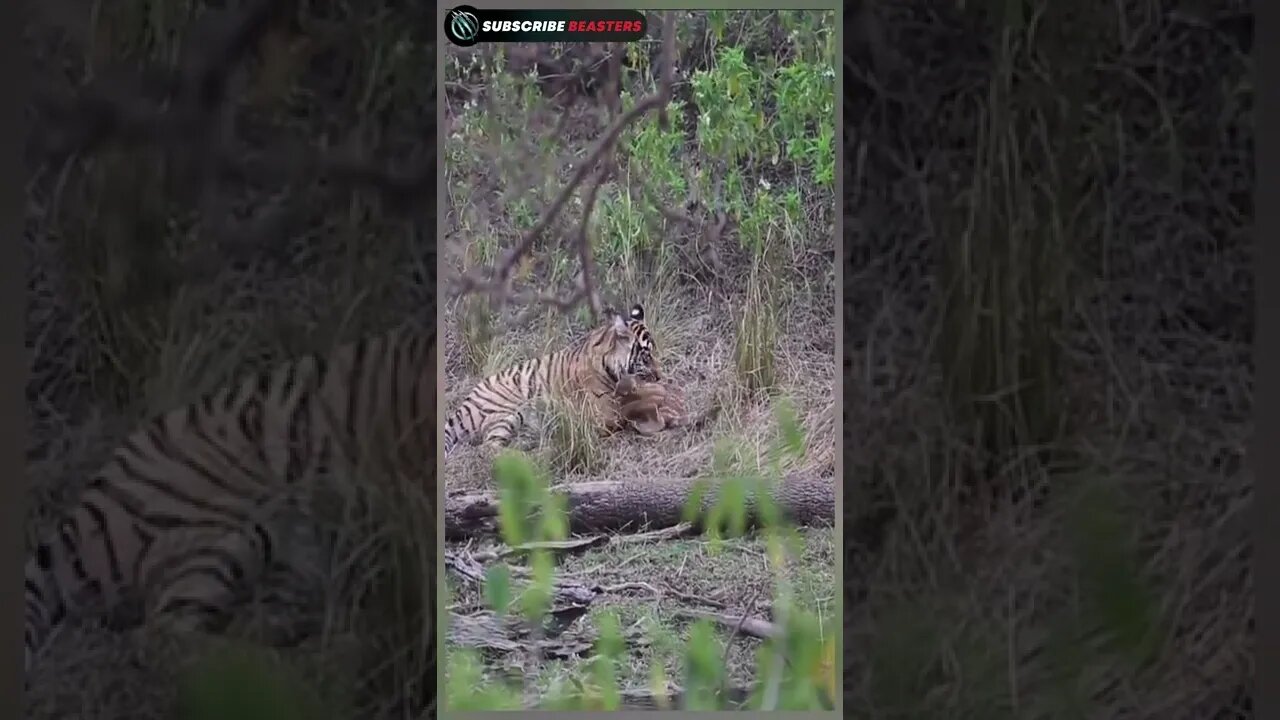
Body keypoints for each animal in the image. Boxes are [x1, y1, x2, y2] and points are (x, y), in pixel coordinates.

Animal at [23, 324, 437, 679]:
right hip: (230, 525)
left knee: (252, 621)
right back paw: (300, 669)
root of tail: (85, 503)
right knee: (162, 637)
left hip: (292, 556)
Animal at [443, 303, 660, 454]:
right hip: (508, 412)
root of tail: (466, 403)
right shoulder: (602, 412)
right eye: (646, 356)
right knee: (488, 449)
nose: (659, 376)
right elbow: (621, 416)